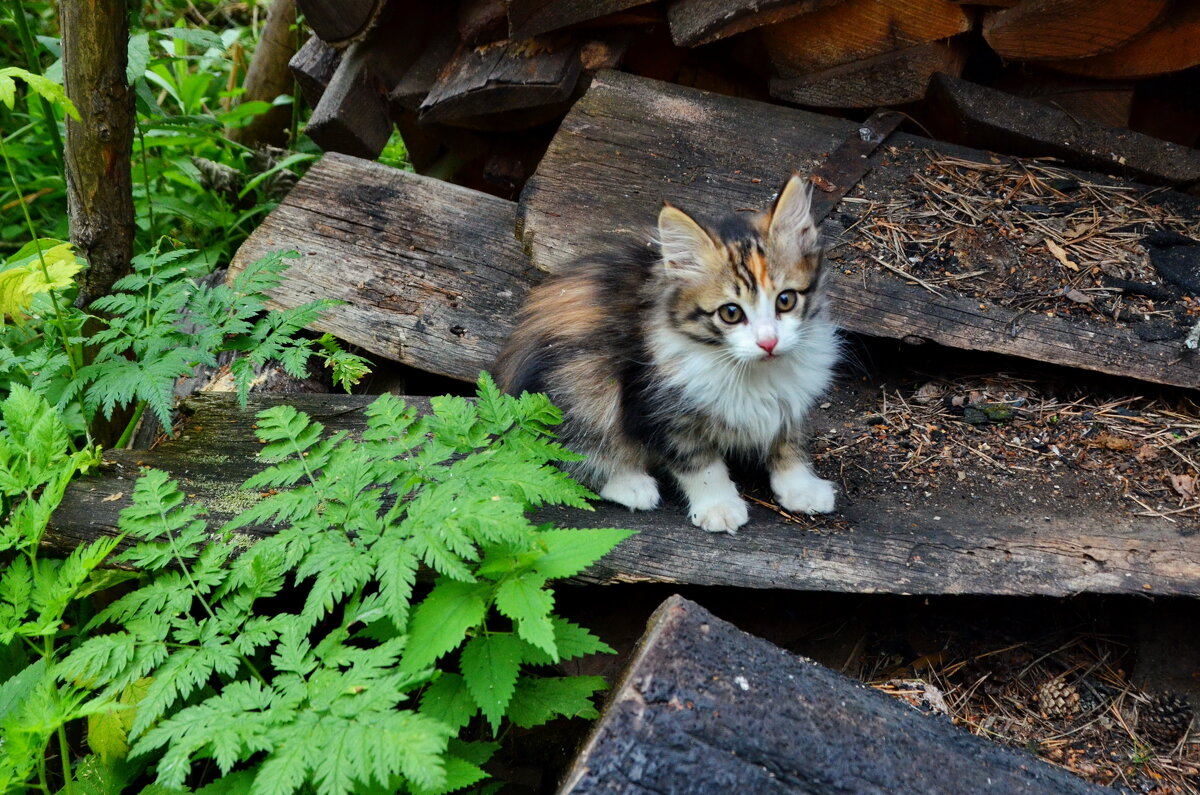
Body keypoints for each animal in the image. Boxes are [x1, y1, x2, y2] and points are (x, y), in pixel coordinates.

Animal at [492, 176, 840, 535]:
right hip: (583, 386)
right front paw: (718, 505)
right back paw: (630, 484)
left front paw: (800, 487)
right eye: (731, 313)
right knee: (569, 454)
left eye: (785, 300)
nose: (769, 342)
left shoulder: (790, 400)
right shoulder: (658, 408)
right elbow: (699, 463)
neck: (751, 371)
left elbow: (788, 441)